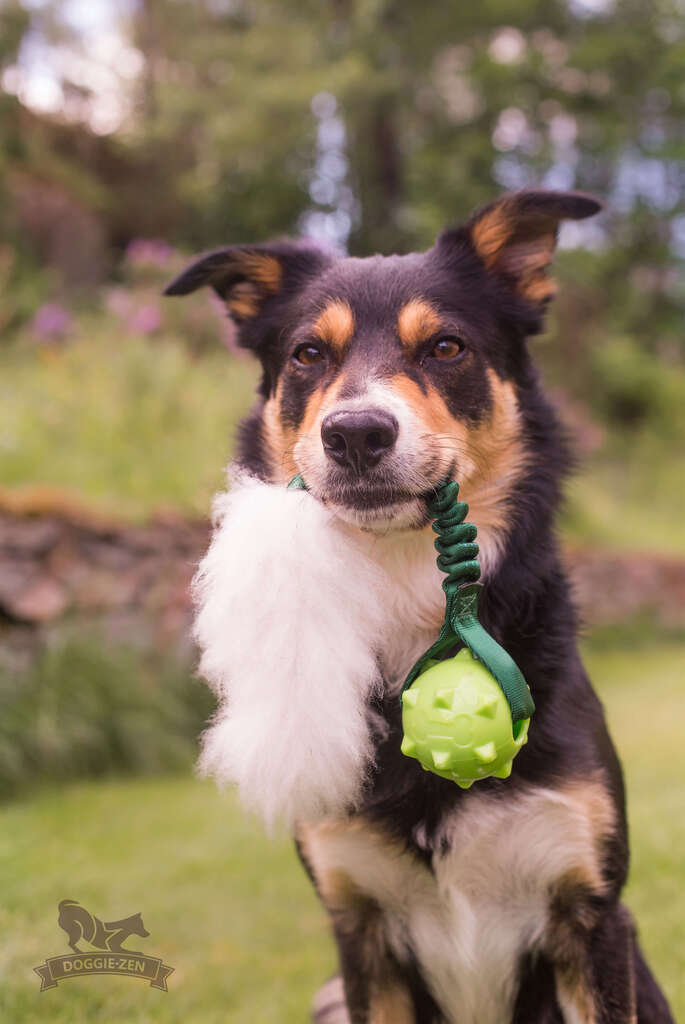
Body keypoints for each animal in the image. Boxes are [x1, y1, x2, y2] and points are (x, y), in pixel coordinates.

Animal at [166, 193, 671, 1024]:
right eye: (308, 355)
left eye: (444, 347)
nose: (355, 433)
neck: (408, 584)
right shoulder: (358, 927)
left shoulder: (591, 912)